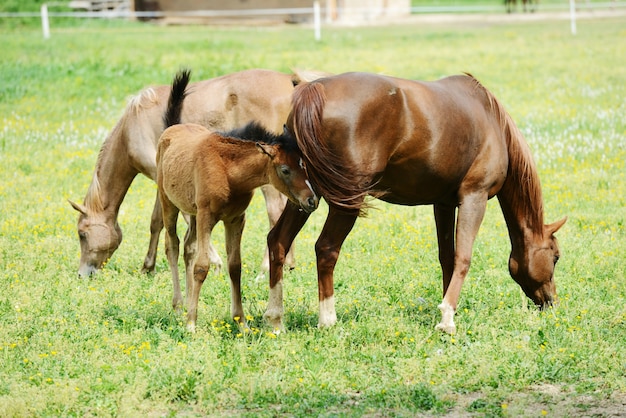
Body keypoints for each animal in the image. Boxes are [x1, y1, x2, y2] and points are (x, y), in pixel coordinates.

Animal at [68, 68, 324, 278]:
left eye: (82, 234)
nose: (82, 274)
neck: (133, 126)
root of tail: (292, 82)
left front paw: (214, 261)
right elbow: (156, 222)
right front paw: (148, 267)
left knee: (275, 212)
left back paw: (265, 269)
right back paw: (287, 263)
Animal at [158, 72, 316, 334]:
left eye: (304, 164)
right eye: (285, 169)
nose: (311, 199)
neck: (228, 171)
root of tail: (172, 128)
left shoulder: (235, 219)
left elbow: (235, 267)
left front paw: (241, 323)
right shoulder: (207, 216)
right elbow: (202, 265)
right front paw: (191, 324)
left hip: (192, 212)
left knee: (189, 248)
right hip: (168, 203)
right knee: (173, 245)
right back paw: (179, 307)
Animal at [264, 71, 564, 334]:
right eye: (556, 257)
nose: (551, 302)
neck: (492, 121)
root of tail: (314, 90)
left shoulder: (443, 204)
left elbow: (447, 257)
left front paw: (447, 309)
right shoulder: (474, 198)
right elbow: (464, 257)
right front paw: (447, 321)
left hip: (304, 196)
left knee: (278, 241)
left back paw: (276, 318)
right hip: (346, 200)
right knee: (326, 249)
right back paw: (327, 320)